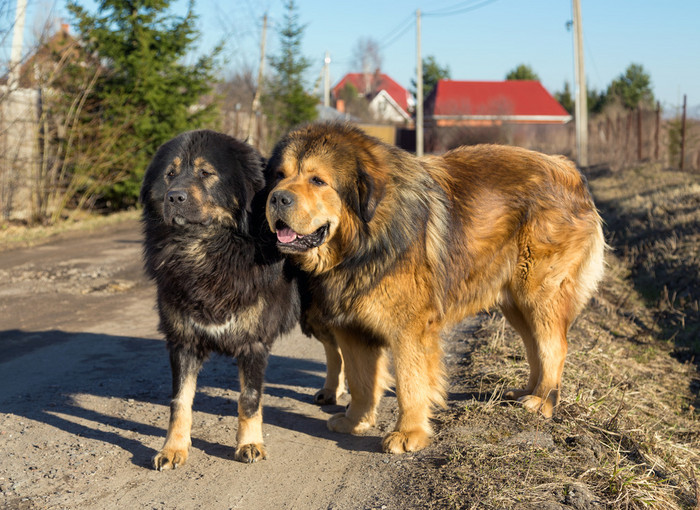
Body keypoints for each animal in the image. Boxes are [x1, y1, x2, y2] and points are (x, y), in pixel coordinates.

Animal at [139, 129, 298, 468]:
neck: (203, 251)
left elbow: (249, 398)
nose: (174, 197)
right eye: (169, 174)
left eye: (206, 173)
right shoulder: (182, 341)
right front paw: (173, 448)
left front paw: (250, 444)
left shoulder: (254, 341)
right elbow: (180, 401)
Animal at [266, 123, 604, 454]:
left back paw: (542, 401)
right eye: (280, 175)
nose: (277, 198)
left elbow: (409, 382)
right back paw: (526, 391)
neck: (363, 244)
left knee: (554, 346)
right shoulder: (351, 328)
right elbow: (360, 380)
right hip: (514, 302)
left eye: (318, 180)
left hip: (538, 294)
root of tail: (569, 170)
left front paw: (408, 433)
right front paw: (355, 421)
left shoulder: (408, 328)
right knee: (535, 347)